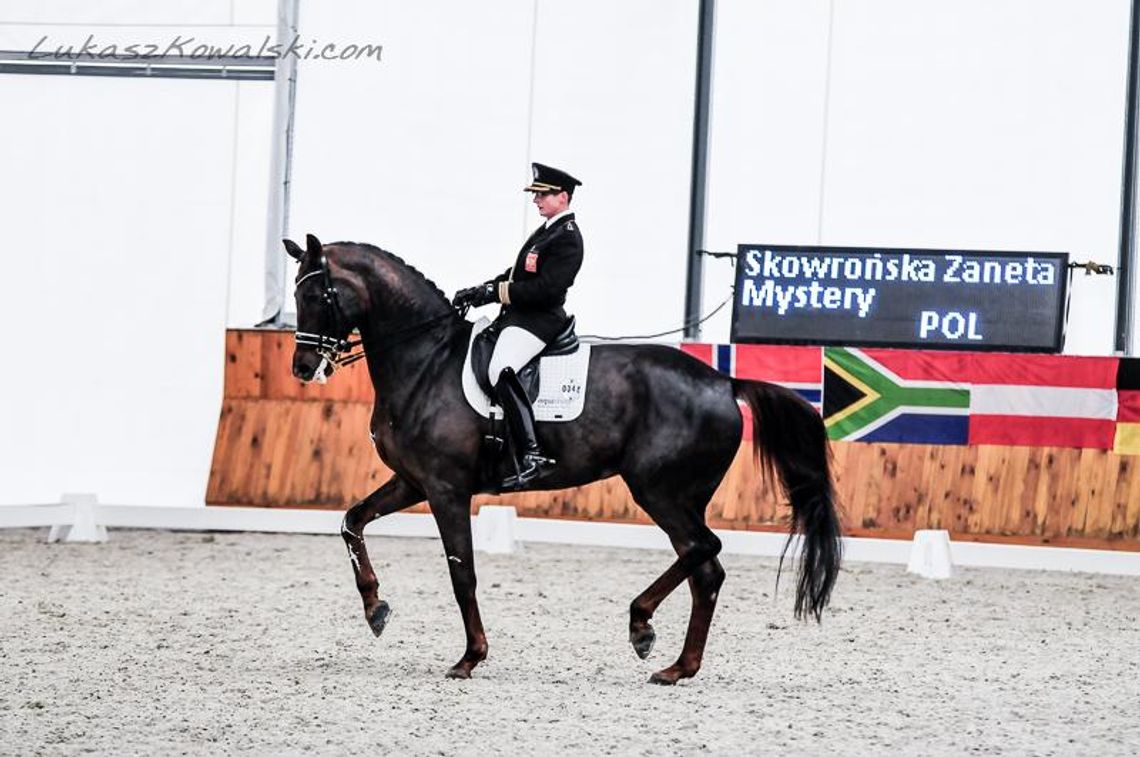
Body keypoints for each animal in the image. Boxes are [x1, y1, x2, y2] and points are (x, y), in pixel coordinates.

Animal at [280, 233, 843, 684]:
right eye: (296, 293)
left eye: (316, 294)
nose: (304, 367)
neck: (426, 362)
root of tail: (724, 382)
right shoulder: (414, 481)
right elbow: (352, 522)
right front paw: (376, 609)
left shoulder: (445, 488)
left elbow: (463, 574)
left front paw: (470, 657)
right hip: (680, 496)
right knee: (706, 570)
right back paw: (677, 667)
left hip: (660, 491)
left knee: (704, 548)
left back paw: (641, 625)